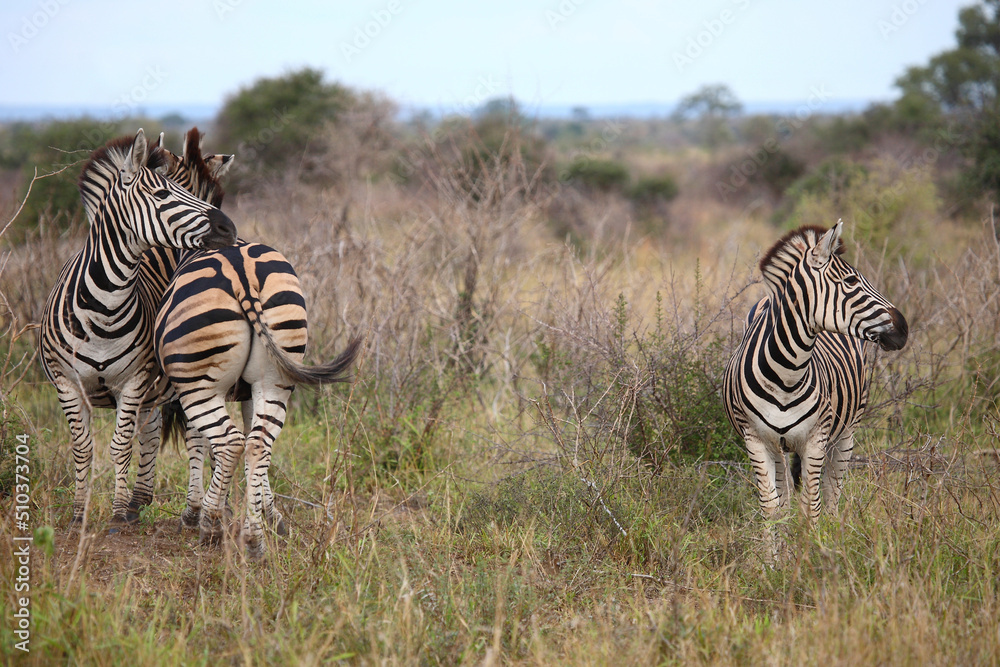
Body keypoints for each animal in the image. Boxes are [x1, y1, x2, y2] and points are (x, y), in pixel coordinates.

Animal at [40, 129, 238, 528]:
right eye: (162, 195)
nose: (228, 228)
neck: (102, 307)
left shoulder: (132, 381)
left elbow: (120, 445)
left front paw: (116, 513)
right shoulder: (67, 383)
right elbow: (83, 447)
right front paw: (80, 513)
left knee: (194, 436)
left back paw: (191, 509)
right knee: (154, 428)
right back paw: (142, 501)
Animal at [154, 201, 361, 559]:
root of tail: (243, 274)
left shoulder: (188, 389)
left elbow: (198, 441)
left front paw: (195, 511)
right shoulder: (250, 391)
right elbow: (255, 444)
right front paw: (270, 514)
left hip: (199, 384)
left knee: (231, 442)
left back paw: (210, 524)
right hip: (275, 374)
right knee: (256, 442)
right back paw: (253, 540)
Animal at [722, 220, 907, 560]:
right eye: (851, 281)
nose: (904, 328)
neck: (786, 373)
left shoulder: (817, 438)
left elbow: (812, 506)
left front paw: (810, 561)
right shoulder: (754, 439)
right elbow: (771, 507)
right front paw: (771, 565)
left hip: (846, 435)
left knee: (833, 498)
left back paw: (832, 546)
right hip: (778, 447)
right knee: (784, 499)